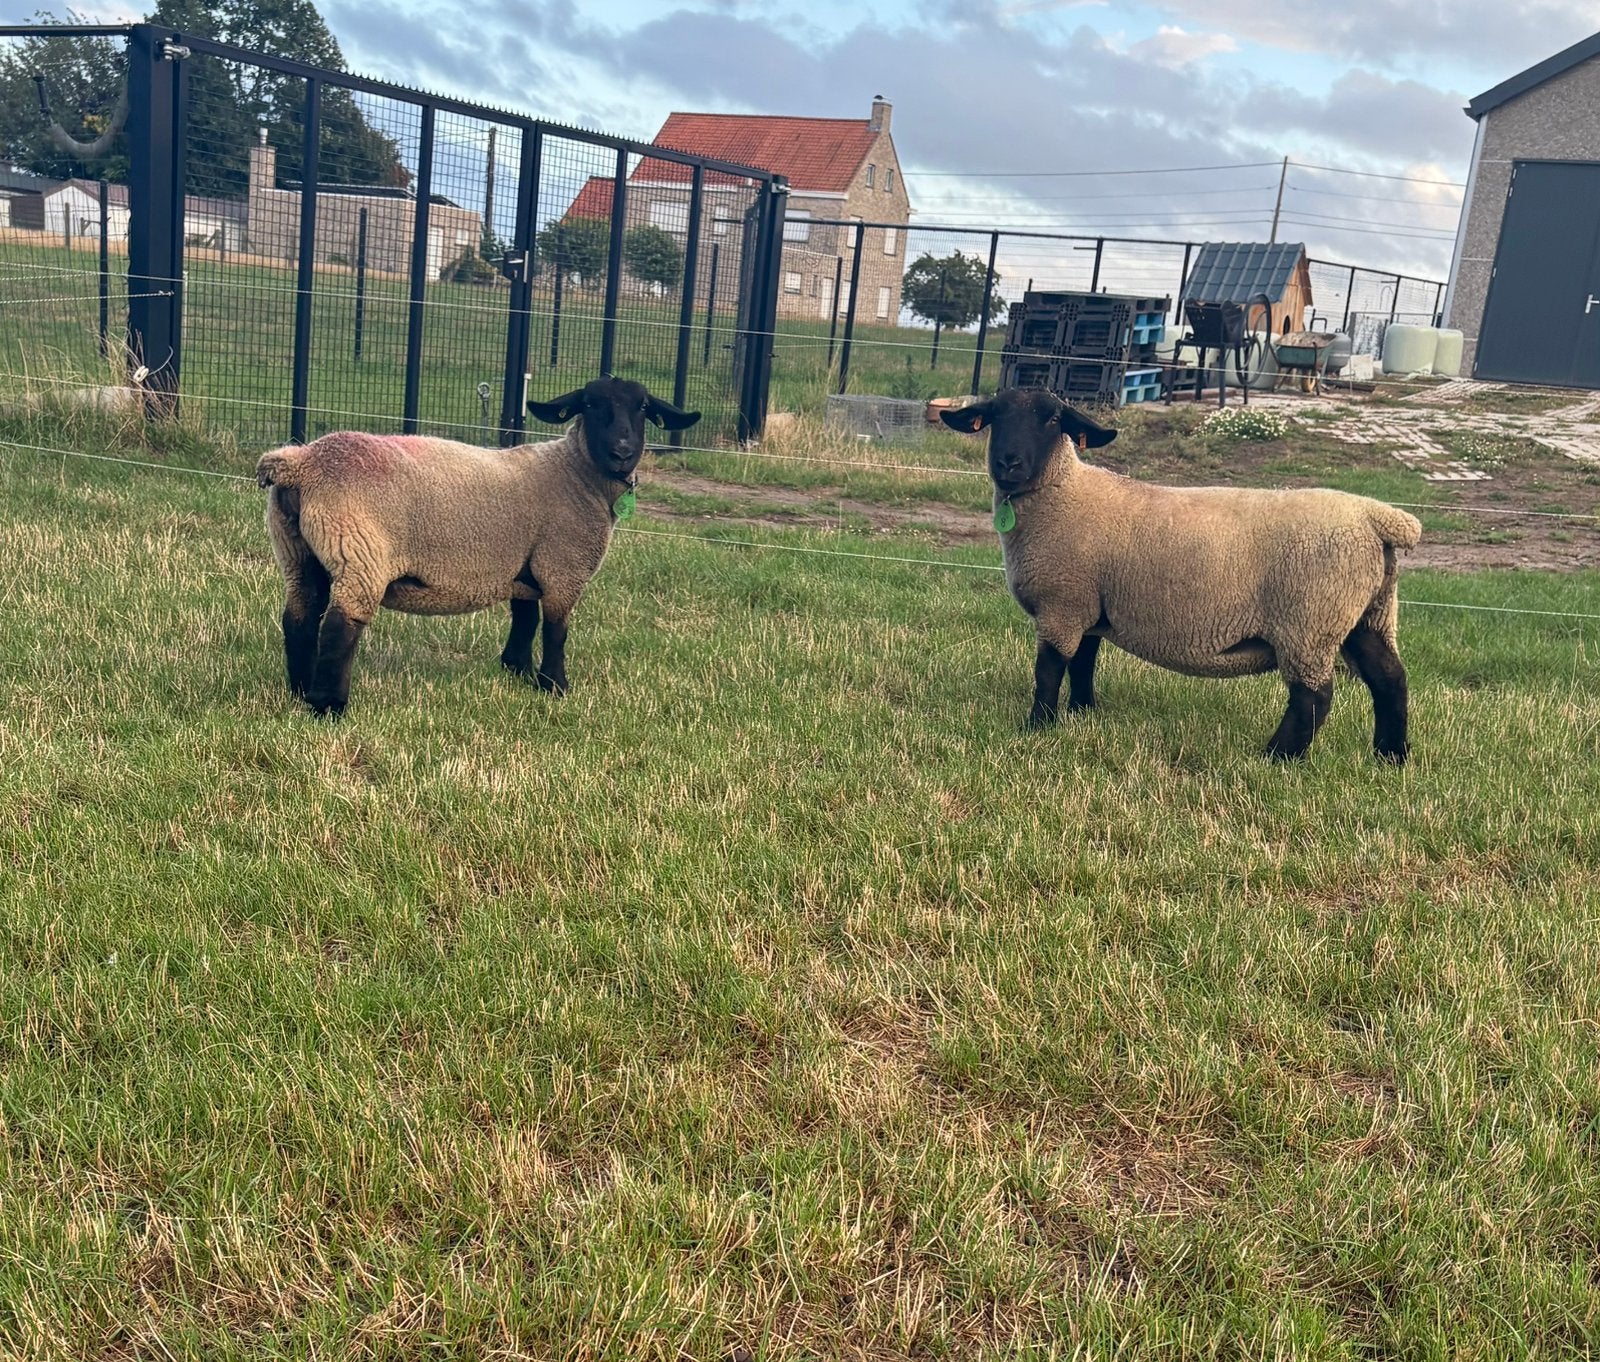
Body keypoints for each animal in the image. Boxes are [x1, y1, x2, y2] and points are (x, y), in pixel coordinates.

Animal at [255, 376, 700, 717]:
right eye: (590, 404)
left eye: (643, 407)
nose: (622, 452)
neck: (575, 472)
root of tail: (300, 463)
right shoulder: (563, 566)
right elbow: (556, 630)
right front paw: (555, 685)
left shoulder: (524, 565)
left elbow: (525, 618)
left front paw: (517, 671)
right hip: (359, 551)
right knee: (339, 626)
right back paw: (328, 706)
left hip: (297, 552)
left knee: (299, 618)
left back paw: (300, 690)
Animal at [940, 388, 1421, 762]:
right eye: (994, 415)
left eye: (1054, 418)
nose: (1008, 463)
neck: (1062, 492)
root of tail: (1376, 517)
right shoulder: (1088, 604)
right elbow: (1083, 664)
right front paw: (1082, 712)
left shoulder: (1063, 602)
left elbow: (1049, 670)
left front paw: (1038, 726)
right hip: (1366, 613)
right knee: (1390, 680)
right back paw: (1390, 756)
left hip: (1309, 621)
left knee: (1314, 697)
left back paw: (1278, 758)